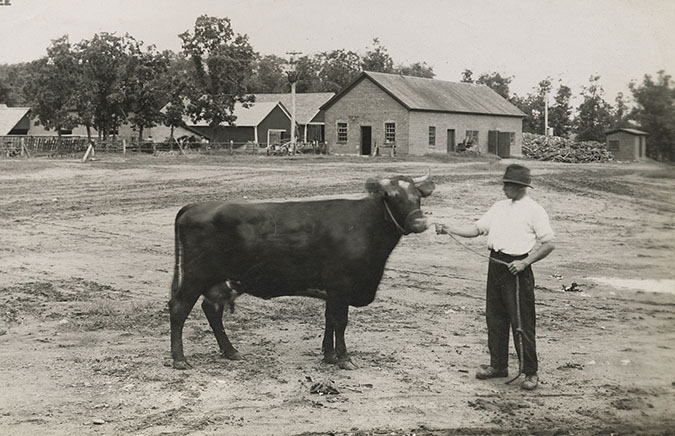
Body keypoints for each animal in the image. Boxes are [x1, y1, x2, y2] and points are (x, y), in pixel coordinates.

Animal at [169, 171, 435, 370]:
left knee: (212, 310)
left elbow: (329, 319)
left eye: (418, 196)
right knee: (179, 308)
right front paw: (344, 358)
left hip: (218, 279)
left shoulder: (332, 290)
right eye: (392, 195)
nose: (420, 222)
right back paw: (180, 359)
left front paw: (329, 355)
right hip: (195, 275)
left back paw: (230, 351)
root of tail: (196, 205)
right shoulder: (341, 284)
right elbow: (341, 321)